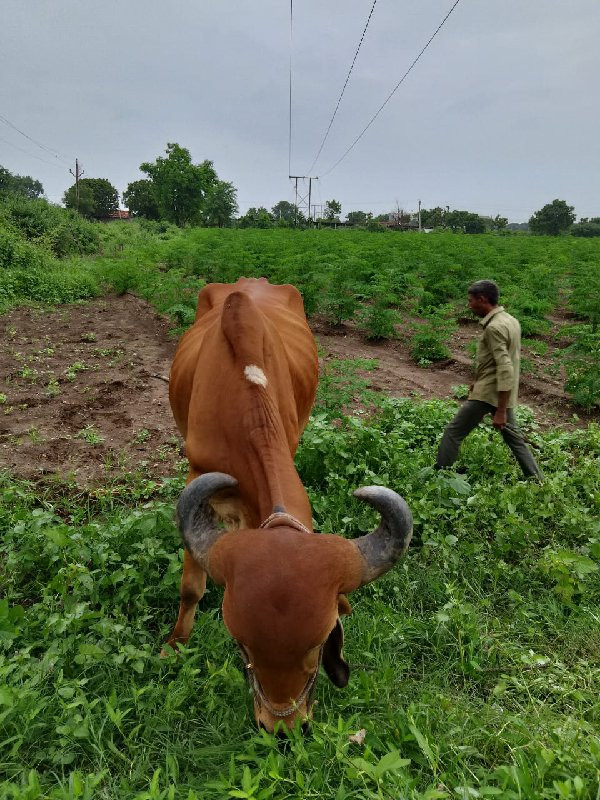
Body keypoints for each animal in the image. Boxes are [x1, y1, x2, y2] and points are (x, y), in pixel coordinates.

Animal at [165, 276, 412, 732]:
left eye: (320, 643)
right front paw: (174, 646)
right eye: (241, 646)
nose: (281, 727)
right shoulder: (197, 473)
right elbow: (191, 587)